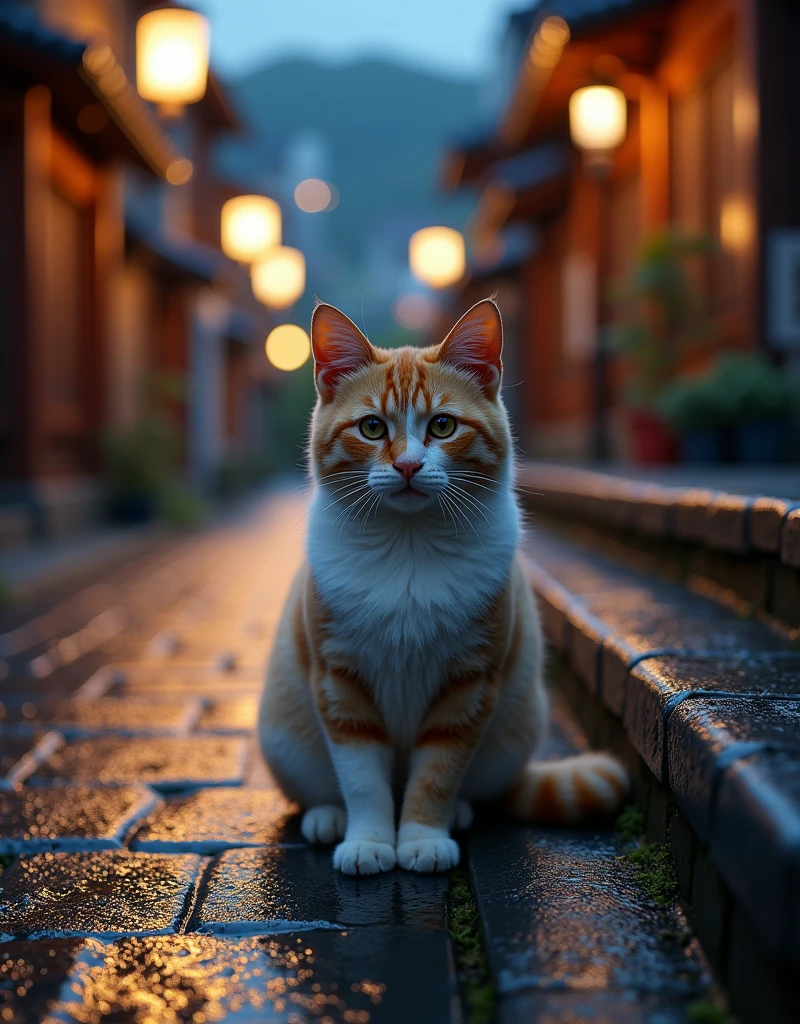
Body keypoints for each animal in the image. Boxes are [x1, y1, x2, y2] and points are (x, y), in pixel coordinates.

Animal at [259, 296, 626, 872]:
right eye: (371, 428)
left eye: (444, 426)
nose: (409, 465)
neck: (409, 548)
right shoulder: (339, 681)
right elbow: (362, 779)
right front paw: (368, 841)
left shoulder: (470, 684)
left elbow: (437, 773)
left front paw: (422, 838)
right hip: (284, 733)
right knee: (322, 789)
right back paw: (328, 818)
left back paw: (458, 814)